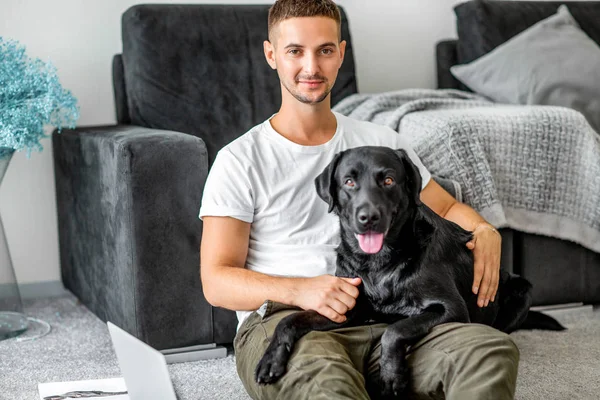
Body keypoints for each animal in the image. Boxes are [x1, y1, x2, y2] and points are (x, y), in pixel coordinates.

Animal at [255, 145, 564, 398]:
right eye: (349, 182)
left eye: (389, 180)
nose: (368, 218)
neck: (379, 263)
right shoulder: (347, 309)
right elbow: (291, 320)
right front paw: (270, 360)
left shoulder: (451, 308)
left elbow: (395, 329)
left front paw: (391, 376)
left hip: (521, 288)